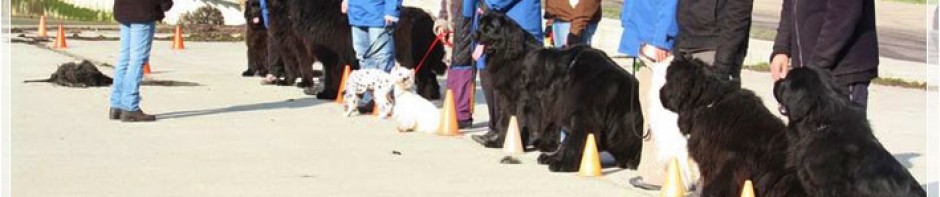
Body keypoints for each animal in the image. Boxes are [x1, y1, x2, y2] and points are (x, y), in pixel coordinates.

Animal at [474, 12, 644, 172]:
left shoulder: (580, 115)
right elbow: (506, 121)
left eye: (489, 27)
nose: (475, 34)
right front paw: (500, 142)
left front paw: (560, 163)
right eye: (481, 23)